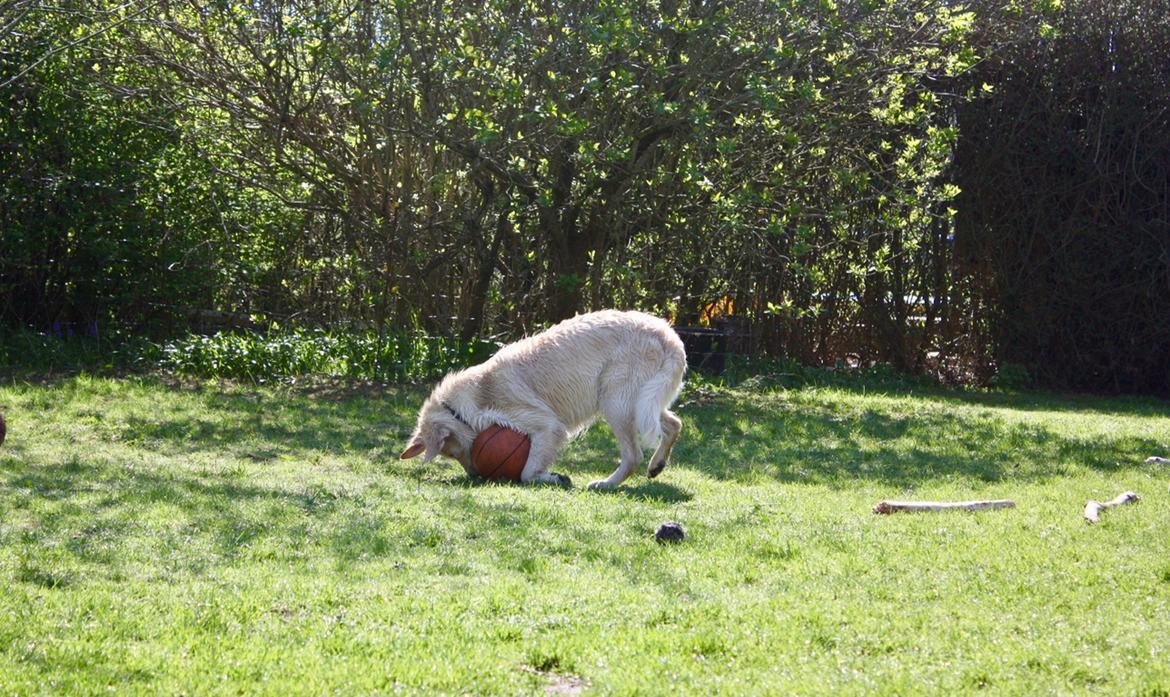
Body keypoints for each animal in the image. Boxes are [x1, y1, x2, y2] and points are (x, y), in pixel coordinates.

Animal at [402, 311, 683, 491]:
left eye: (451, 451)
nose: (475, 475)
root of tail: (666, 333)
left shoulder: (548, 426)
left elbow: (527, 473)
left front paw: (555, 478)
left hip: (616, 403)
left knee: (633, 454)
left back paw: (606, 484)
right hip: (641, 404)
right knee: (674, 424)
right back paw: (656, 465)